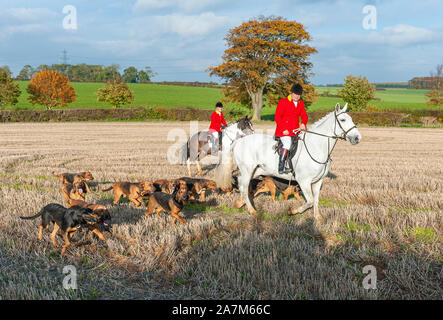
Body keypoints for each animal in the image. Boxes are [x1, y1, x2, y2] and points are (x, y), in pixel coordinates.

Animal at [216, 104, 364, 222]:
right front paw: (292, 211)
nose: (357, 138)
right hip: (247, 169)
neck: (316, 146)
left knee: (242, 185)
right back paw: (252, 211)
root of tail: (239, 140)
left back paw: (240, 204)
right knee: (243, 186)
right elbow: (310, 201)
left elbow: (315, 200)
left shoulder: (318, 181)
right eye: (343, 120)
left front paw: (317, 217)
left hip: (255, 170)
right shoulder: (304, 181)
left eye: (351, 119)